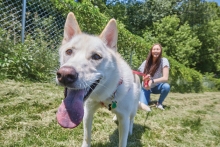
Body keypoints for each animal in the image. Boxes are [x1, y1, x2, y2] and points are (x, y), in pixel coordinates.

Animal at [55, 12, 140, 146]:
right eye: (68, 51)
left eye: (96, 56)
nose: (64, 75)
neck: (106, 96)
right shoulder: (87, 112)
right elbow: (87, 136)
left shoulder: (124, 119)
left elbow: (123, 140)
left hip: (134, 108)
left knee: (132, 118)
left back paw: (131, 129)